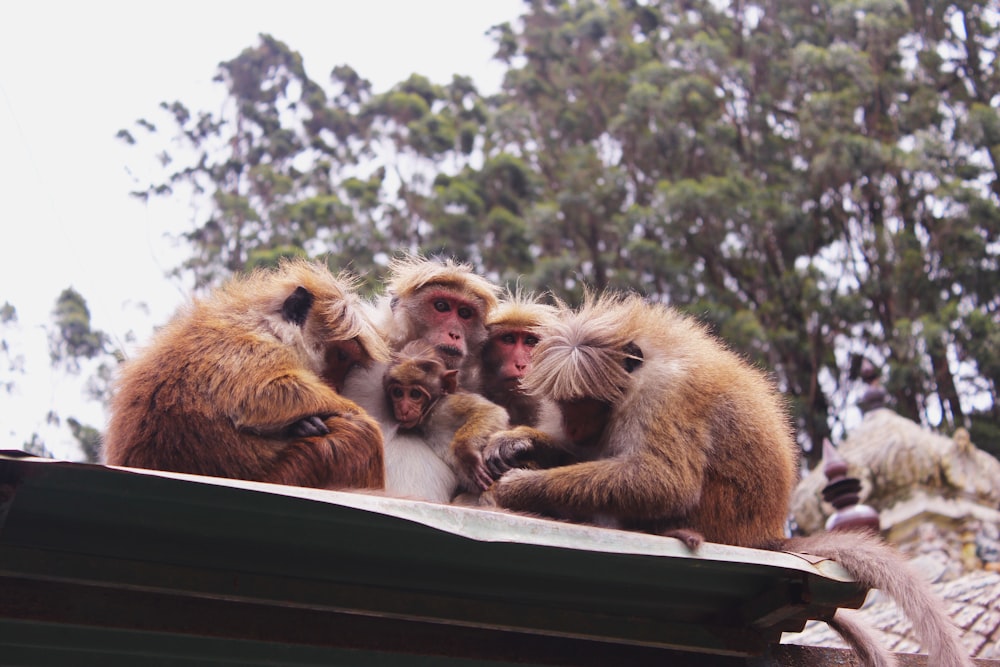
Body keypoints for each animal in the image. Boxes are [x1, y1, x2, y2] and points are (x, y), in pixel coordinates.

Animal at [102, 260, 390, 490]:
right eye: (340, 357)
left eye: (347, 362)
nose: (336, 385)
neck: (265, 324)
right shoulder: (252, 347)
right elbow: (257, 397)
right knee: (358, 432)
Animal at [382, 344, 508, 496]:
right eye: (398, 393)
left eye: (415, 394)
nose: (403, 409)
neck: (429, 414)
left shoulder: (446, 404)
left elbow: (491, 412)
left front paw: (467, 452)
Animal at [480, 294, 972, 667]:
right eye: (566, 404)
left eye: (584, 401)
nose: (574, 424)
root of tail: (765, 537)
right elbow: (589, 455)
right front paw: (519, 443)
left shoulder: (661, 394)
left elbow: (663, 481)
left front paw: (519, 486)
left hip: (717, 517)